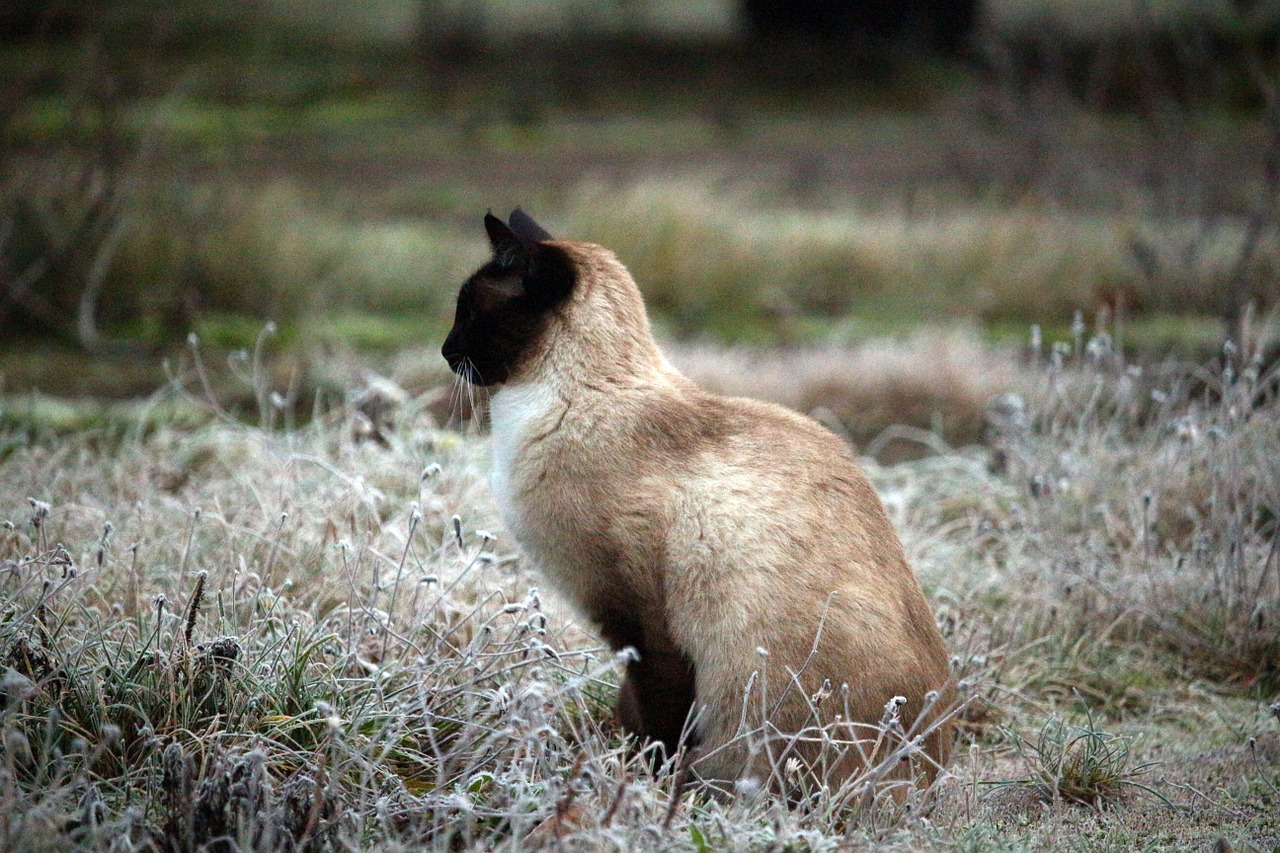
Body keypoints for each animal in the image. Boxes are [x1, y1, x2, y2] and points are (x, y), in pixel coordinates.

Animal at [440, 208, 952, 788]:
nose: (446, 351)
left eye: (468, 312)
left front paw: (644, 784)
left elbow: (657, 712)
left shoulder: (639, 620)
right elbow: (638, 709)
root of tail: (933, 779)